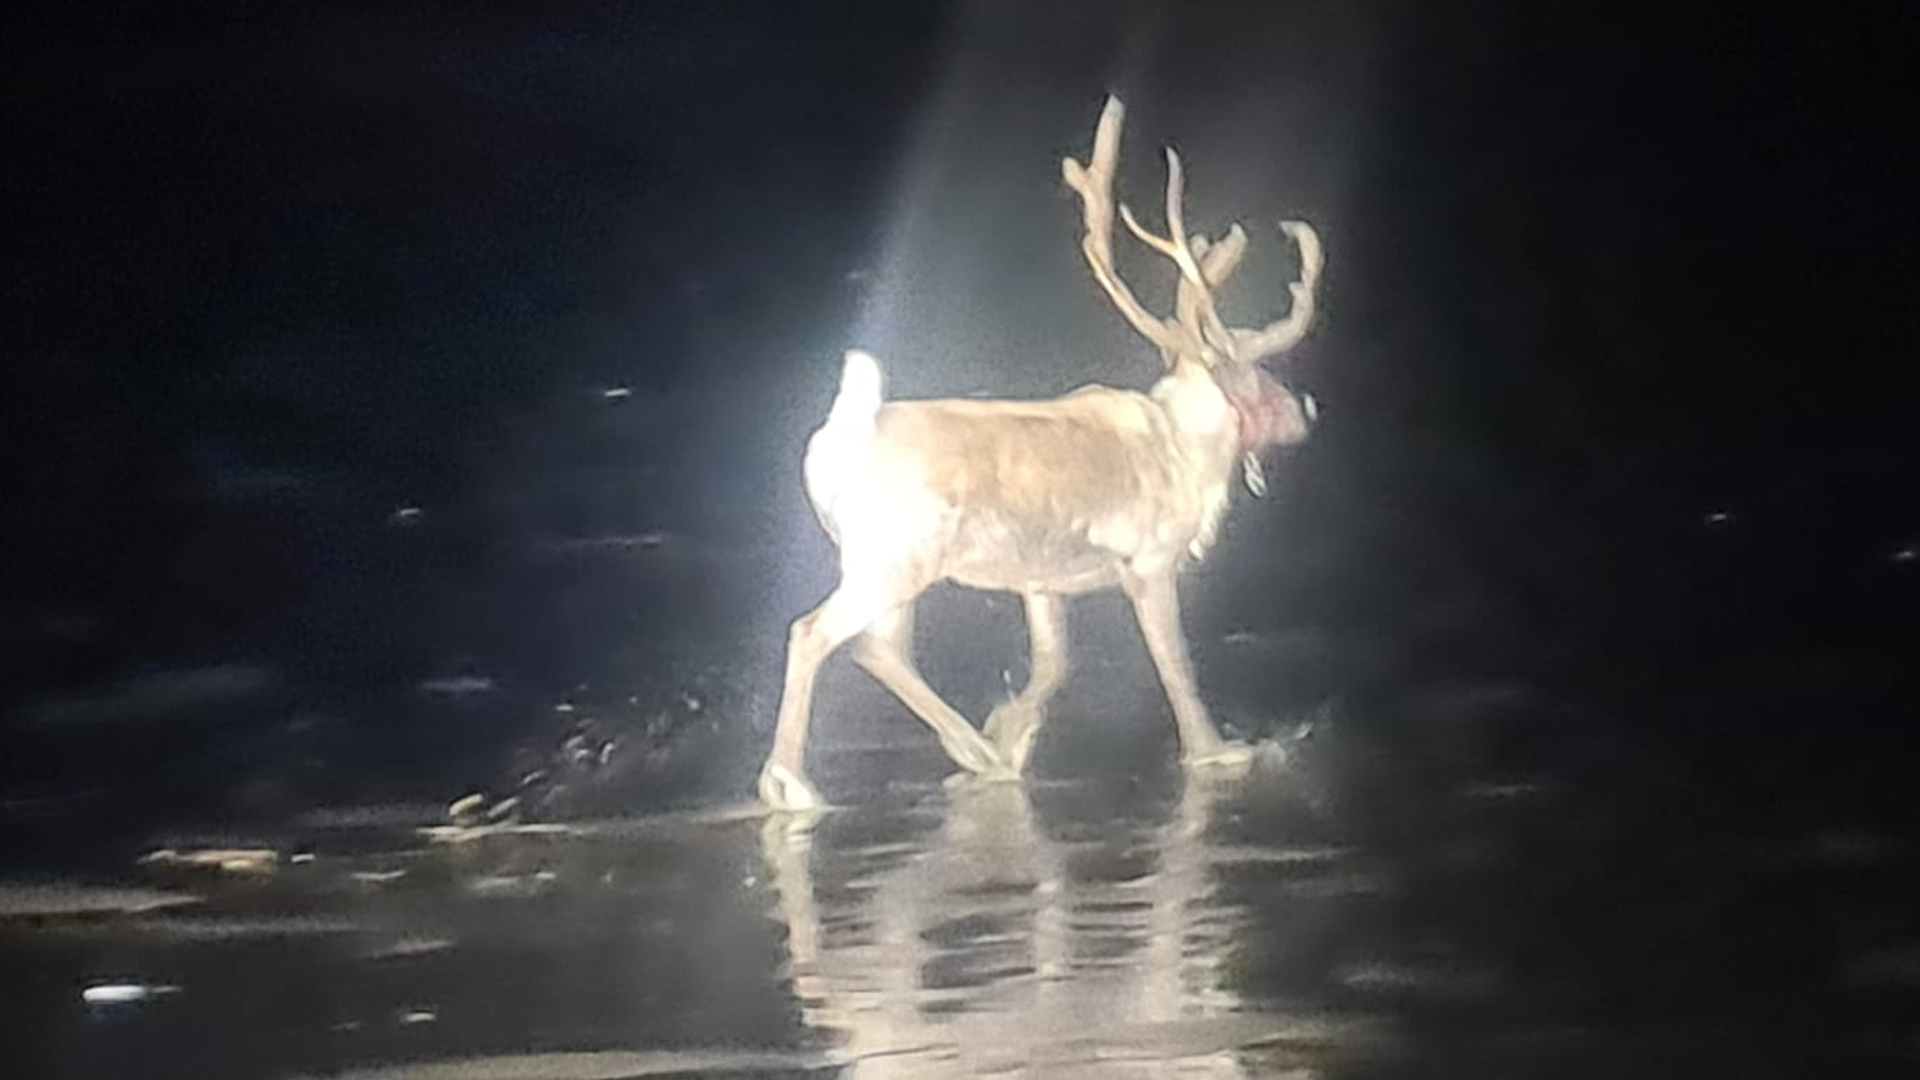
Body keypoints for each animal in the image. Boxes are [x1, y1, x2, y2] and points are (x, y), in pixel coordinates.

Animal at [757, 95, 1325, 811]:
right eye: (1263, 374)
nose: (1305, 413)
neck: (1189, 452)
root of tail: (833, 442)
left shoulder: (1042, 580)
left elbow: (1055, 665)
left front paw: (1011, 730)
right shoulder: (1150, 560)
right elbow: (1176, 664)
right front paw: (1216, 749)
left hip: (889, 564)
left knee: (878, 650)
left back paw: (976, 750)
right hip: (894, 558)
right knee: (816, 633)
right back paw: (791, 782)